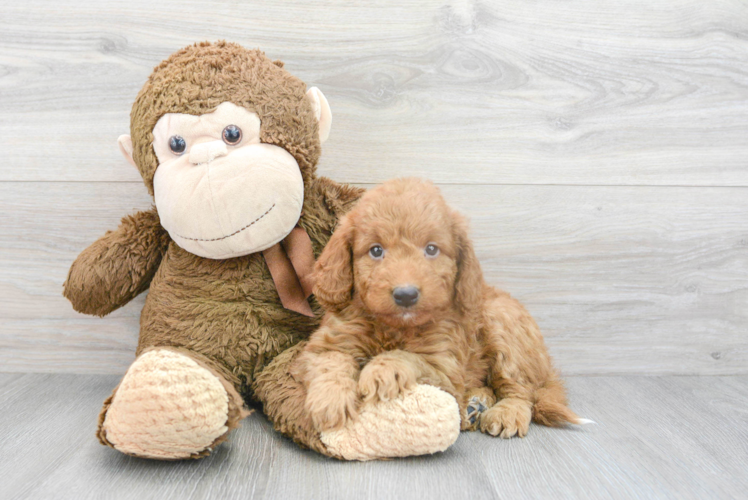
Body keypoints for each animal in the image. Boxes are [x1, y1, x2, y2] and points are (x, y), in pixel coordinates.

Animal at [296, 178, 584, 436]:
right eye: (376, 251)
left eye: (431, 249)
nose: (406, 295)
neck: (395, 327)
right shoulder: (329, 342)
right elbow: (330, 363)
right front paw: (330, 401)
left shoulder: (445, 368)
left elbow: (408, 357)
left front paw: (381, 370)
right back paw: (474, 406)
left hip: (504, 325)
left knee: (522, 391)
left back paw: (506, 413)